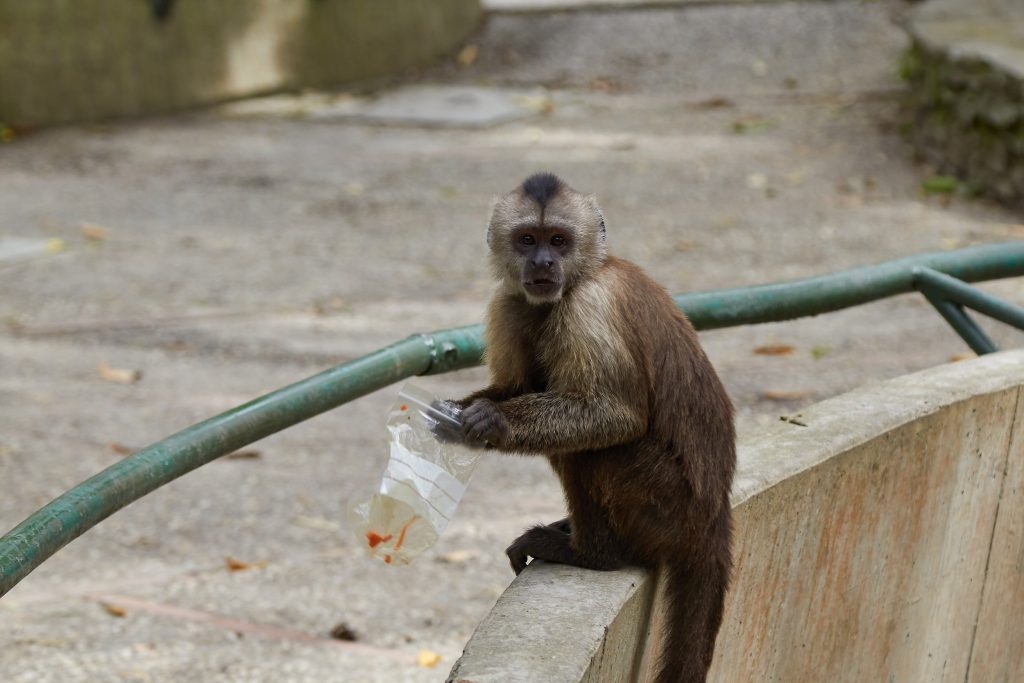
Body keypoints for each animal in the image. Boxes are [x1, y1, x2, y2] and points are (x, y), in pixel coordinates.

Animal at [447, 173, 735, 683]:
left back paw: (594, 555)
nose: (543, 262)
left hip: (667, 503)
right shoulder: (508, 301)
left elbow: (615, 415)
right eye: (528, 240)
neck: (582, 275)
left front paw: (494, 423)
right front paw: (458, 414)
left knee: (590, 450)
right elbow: (516, 382)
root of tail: (714, 515)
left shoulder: (589, 306)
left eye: (559, 241)